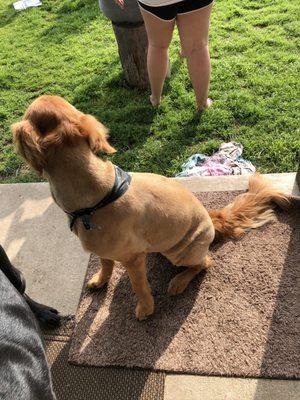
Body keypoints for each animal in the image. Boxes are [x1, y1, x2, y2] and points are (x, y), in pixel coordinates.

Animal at [11, 95, 288, 320]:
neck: (95, 196)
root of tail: (212, 217)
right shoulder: (103, 249)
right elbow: (106, 265)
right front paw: (101, 281)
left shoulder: (133, 259)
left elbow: (139, 286)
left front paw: (145, 308)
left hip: (184, 252)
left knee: (205, 262)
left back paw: (179, 281)